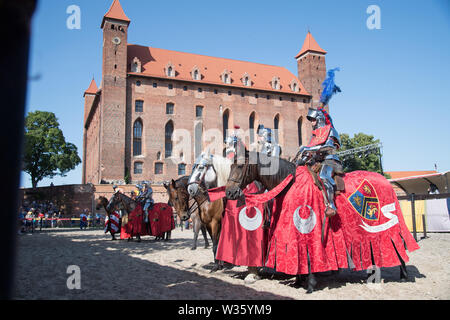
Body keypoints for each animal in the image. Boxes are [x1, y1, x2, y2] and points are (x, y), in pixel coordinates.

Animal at [225, 149, 418, 292]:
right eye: (230, 165)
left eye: (240, 165)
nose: (230, 192)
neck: (290, 183)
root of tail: (385, 180)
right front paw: (299, 280)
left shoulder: (308, 228)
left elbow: (309, 252)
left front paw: (309, 283)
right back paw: (373, 272)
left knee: (397, 241)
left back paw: (402, 274)